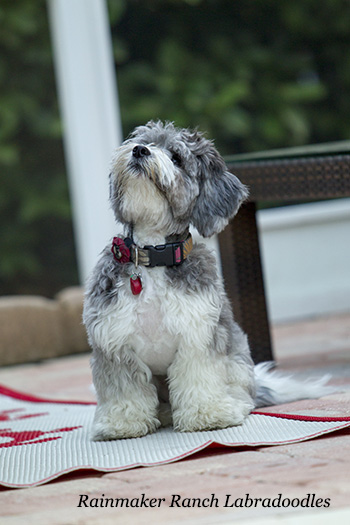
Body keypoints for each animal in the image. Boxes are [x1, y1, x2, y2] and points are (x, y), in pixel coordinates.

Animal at [83, 121, 332, 440]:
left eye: (176, 157)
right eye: (142, 141)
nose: (139, 151)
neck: (153, 257)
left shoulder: (198, 334)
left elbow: (198, 375)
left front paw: (207, 414)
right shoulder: (114, 342)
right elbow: (124, 387)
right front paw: (122, 422)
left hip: (237, 357)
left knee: (244, 393)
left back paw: (231, 404)